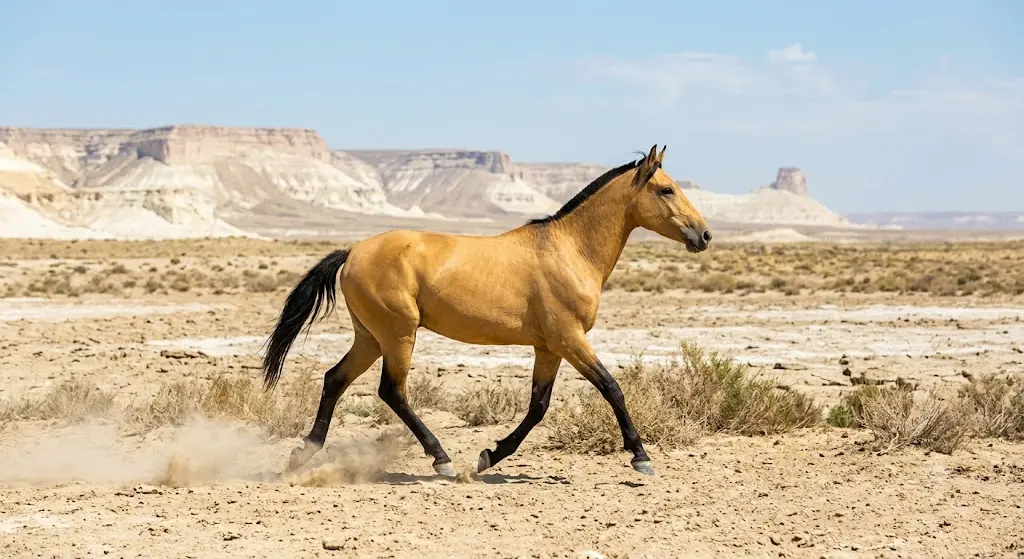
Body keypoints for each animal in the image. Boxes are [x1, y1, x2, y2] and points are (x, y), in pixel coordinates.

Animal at [260, 144, 711, 478]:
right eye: (667, 190)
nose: (704, 235)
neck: (570, 250)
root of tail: (353, 251)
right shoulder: (570, 338)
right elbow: (611, 387)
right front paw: (641, 457)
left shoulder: (549, 347)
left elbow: (538, 406)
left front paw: (489, 456)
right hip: (398, 333)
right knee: (392, 391)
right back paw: (441, 459)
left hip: (370, 337)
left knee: (335, 379)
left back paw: (302, 455)